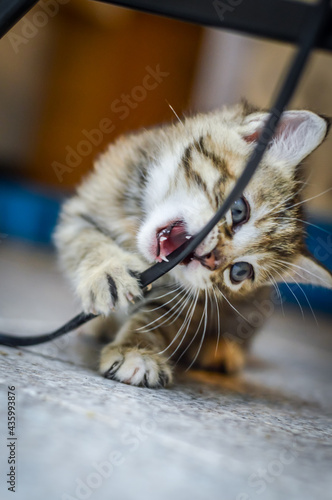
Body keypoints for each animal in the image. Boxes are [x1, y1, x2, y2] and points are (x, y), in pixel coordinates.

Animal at [53, 102, 330, 386]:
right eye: (239, 210)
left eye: (240, 271)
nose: (211, 259)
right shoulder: (80, 212)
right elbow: (88, 242)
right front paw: (108, 272)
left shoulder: (188, 300)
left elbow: (158, 318)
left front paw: (137, 350)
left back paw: (219, 350)